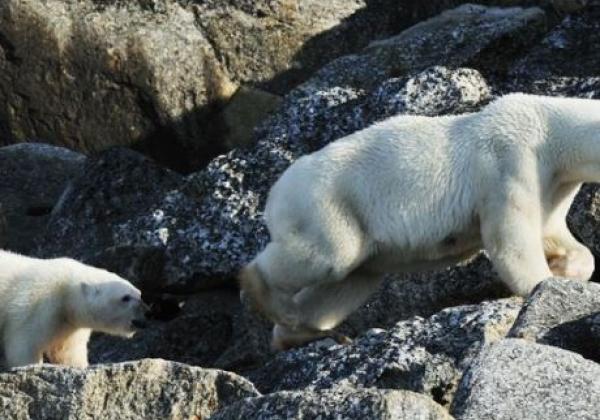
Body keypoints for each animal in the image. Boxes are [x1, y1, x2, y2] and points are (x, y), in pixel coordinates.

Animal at [0, 249, 149, 368]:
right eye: (125, 297)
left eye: (139, 294)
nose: (145, 317)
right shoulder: (33, 305)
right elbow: (23, 346)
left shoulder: (70, 324)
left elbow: (68, 351)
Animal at [241, 92, 596, 352]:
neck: (546, 126)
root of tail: (275, 193)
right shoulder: (511, 161)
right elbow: (511, 238)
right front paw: (543, 285)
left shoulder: (555, 181)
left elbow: (551, 229)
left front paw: (566, 268)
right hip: (327, 203)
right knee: (329, 256)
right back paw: (264, 294)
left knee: (351, 279)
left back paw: (303, 331)